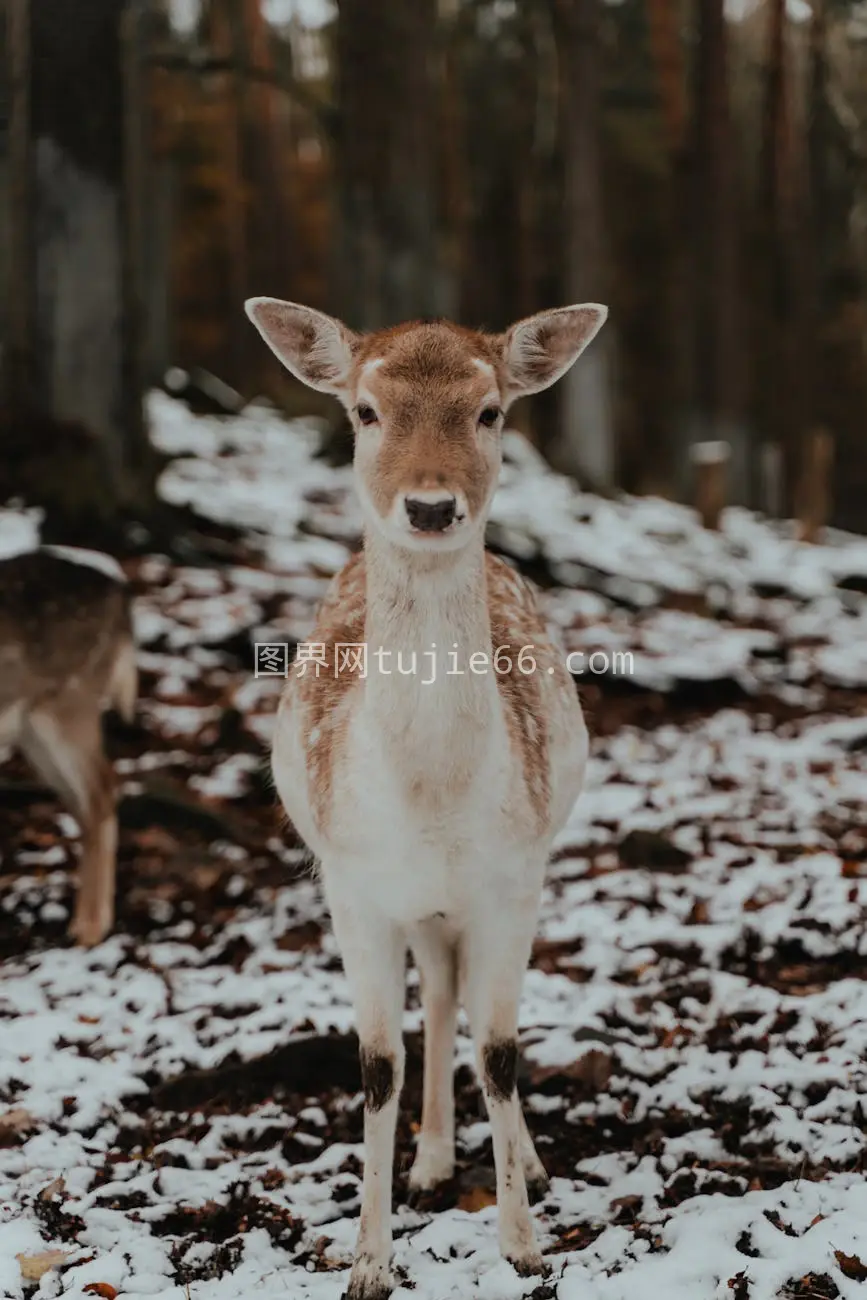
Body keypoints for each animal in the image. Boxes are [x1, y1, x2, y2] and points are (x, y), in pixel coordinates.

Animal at [0, 548, 137, 946]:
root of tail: (119, 594)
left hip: (68, 706)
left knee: (102, 788)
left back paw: (91, 926)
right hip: (33, 732)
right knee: (84, 801)